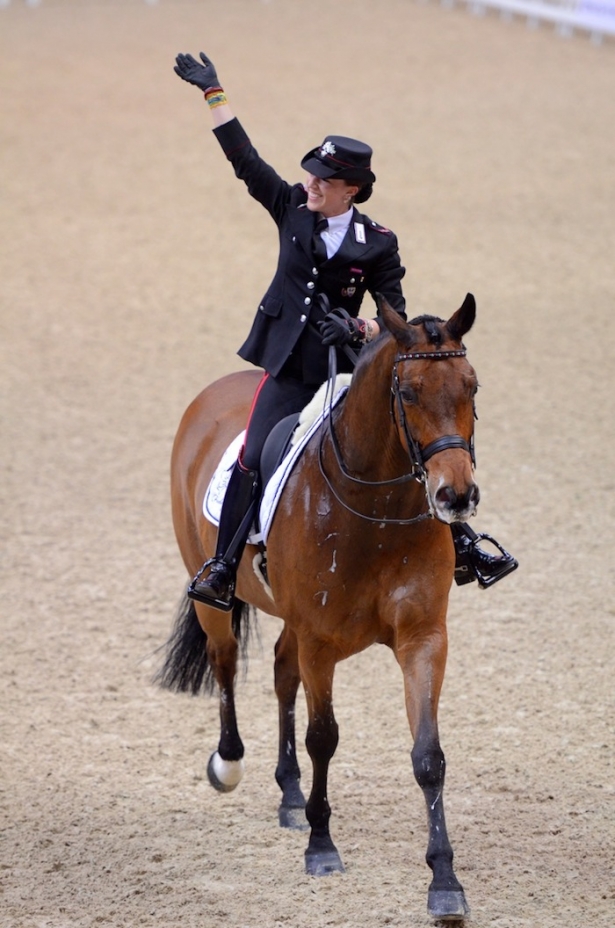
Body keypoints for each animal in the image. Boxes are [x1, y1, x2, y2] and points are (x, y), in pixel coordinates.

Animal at [158, 294, 482, 916]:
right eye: (409, 394)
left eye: (472, 387)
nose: (455, 496)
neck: (377, 507)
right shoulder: (320, 641)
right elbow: (323, 738)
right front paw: (322, 847)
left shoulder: (423, 638)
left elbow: (428, 756)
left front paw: (445, 881)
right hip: (214, 594)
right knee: (225, 662)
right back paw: (229, 764)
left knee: (281, 672)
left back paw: (289, 793)